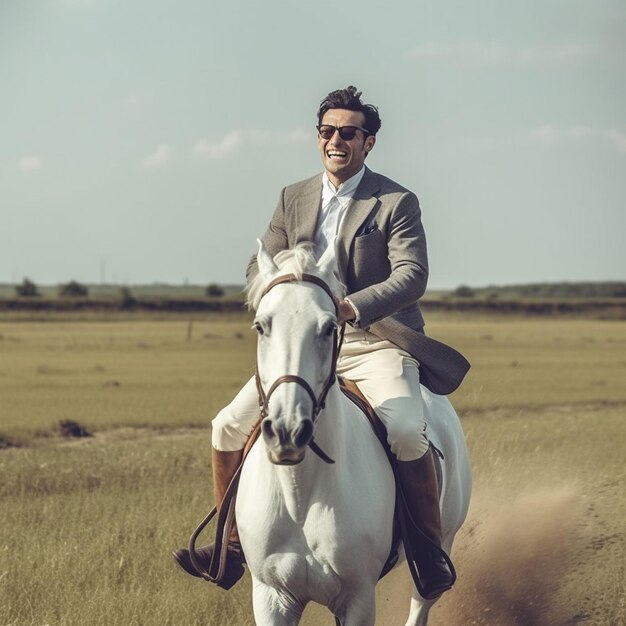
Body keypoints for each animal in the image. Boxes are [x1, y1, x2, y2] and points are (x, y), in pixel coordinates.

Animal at [236, 241, 470, 620]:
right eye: (261, 326)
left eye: (330, 327)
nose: (288, 432)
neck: (300, 493)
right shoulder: (272, 597)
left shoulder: (357, 597)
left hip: (444, 543)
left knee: (421, 603)